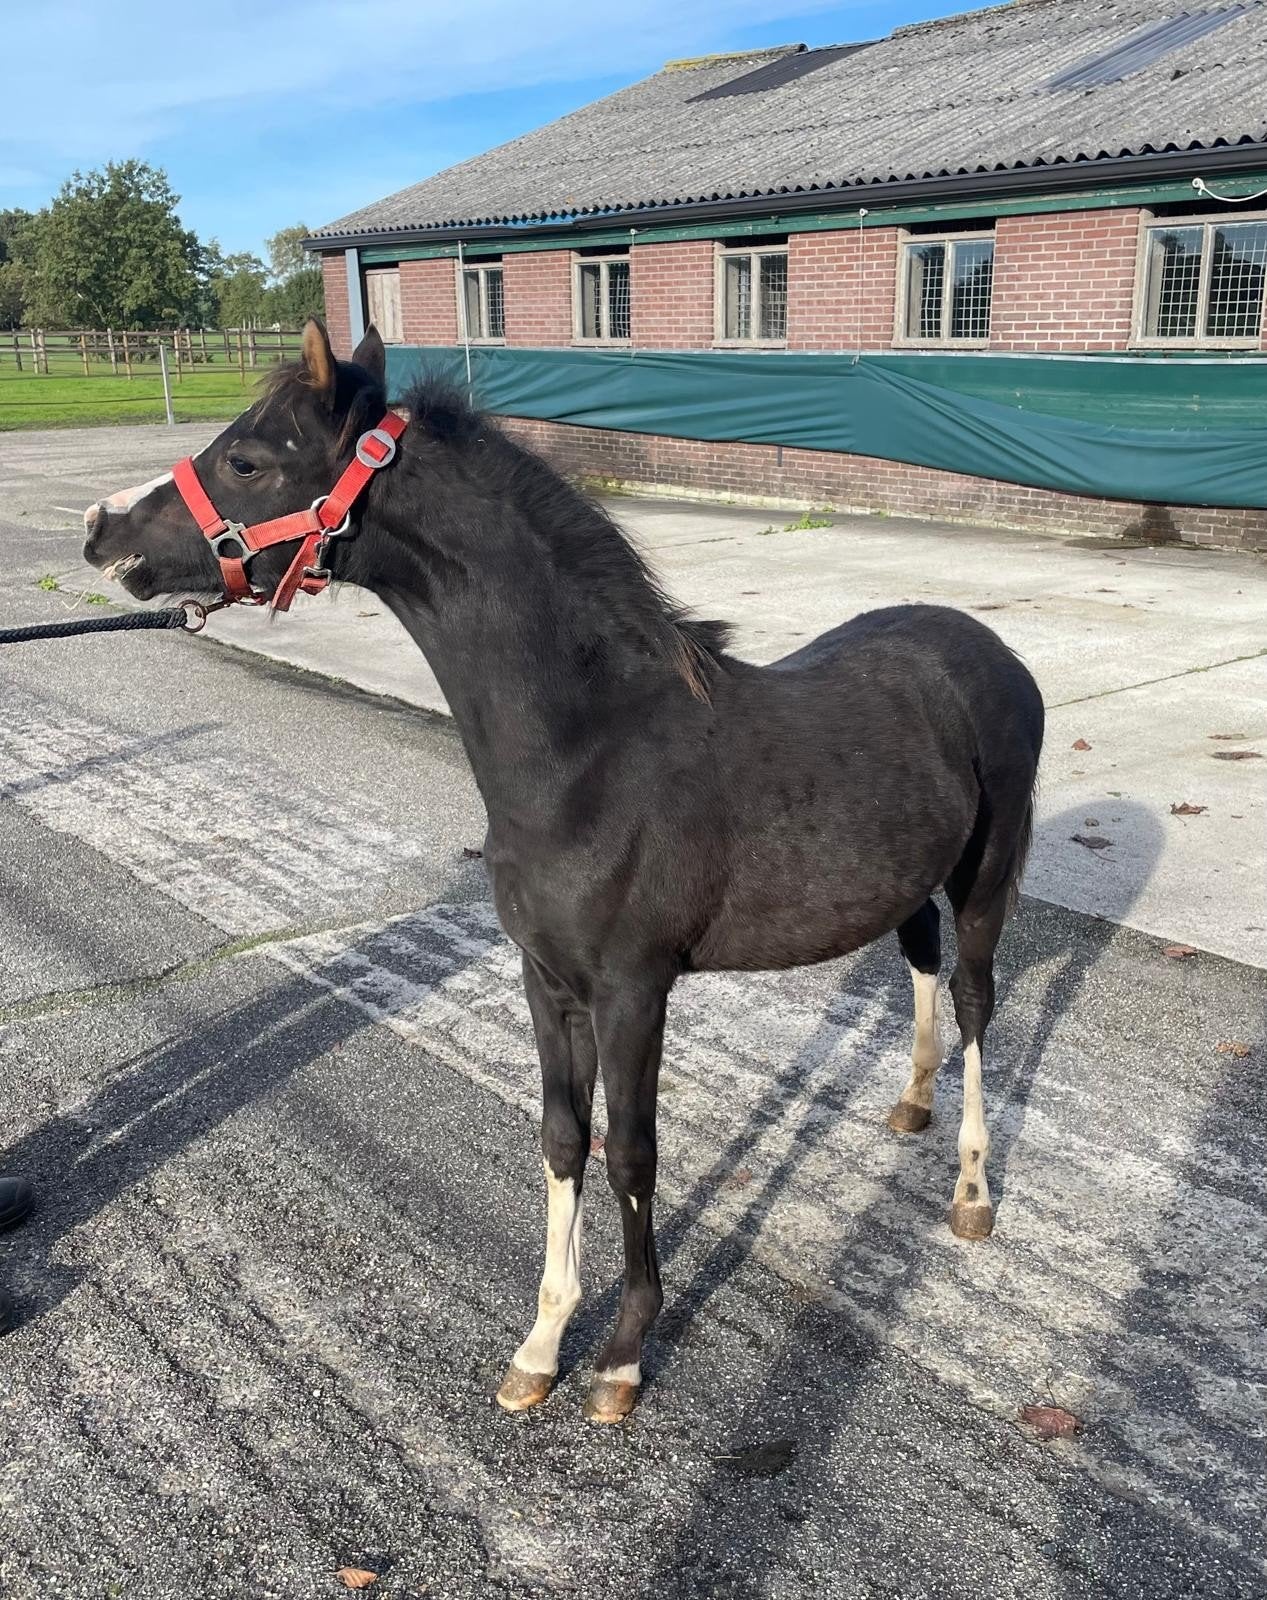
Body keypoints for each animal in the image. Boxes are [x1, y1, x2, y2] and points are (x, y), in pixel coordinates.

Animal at [83, 318, 1044, 1425]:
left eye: (246, 459)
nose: (103, 532)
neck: (589, 746)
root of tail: (986, 645)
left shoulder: (632, 988)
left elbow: (628, 1149)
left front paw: (622, 1353)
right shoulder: (546, 979)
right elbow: (559, 1136)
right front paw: (541, 1343)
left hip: (986, 875)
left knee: (973, 997)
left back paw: (970, 1192)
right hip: (904, 881)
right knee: (921, 963)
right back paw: (911, 1103)